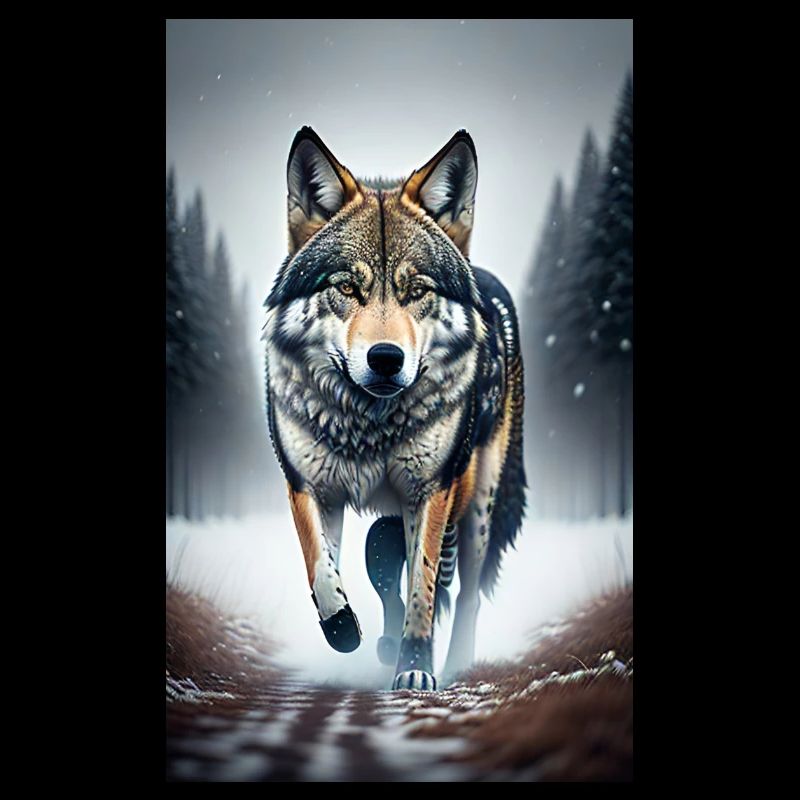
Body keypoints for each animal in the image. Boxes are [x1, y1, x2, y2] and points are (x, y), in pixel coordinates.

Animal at [263, 127, 526, 690]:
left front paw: (415, 668)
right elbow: (321, 565)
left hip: (478, 504)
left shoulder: (432, 489)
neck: (368, 425)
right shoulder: (307, 483)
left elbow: (422, 590)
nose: (385, 358)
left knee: (464, 593)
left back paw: (455, 663)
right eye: (346, 286)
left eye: (416, 290)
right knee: (384, 560)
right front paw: (343, 627)